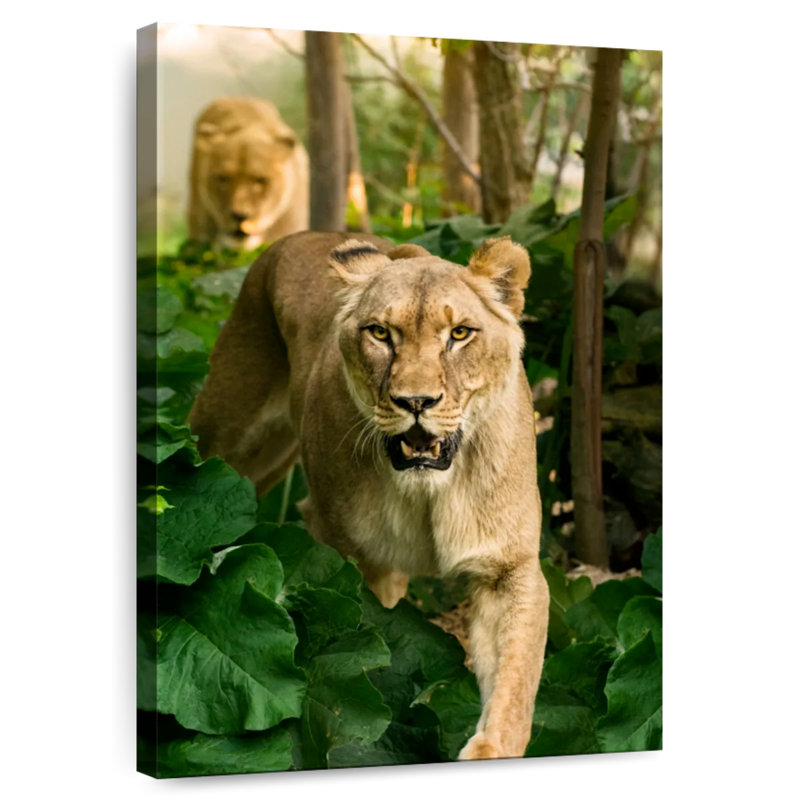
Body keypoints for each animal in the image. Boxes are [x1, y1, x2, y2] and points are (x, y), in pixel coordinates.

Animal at [188, 231, 549, 761]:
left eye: (460, 333)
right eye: (380, 333)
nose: (416, 402)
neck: (428, 489)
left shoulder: (508, 566)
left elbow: (516, 677)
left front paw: (489, 750)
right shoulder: (351, 554)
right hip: (228, 442)